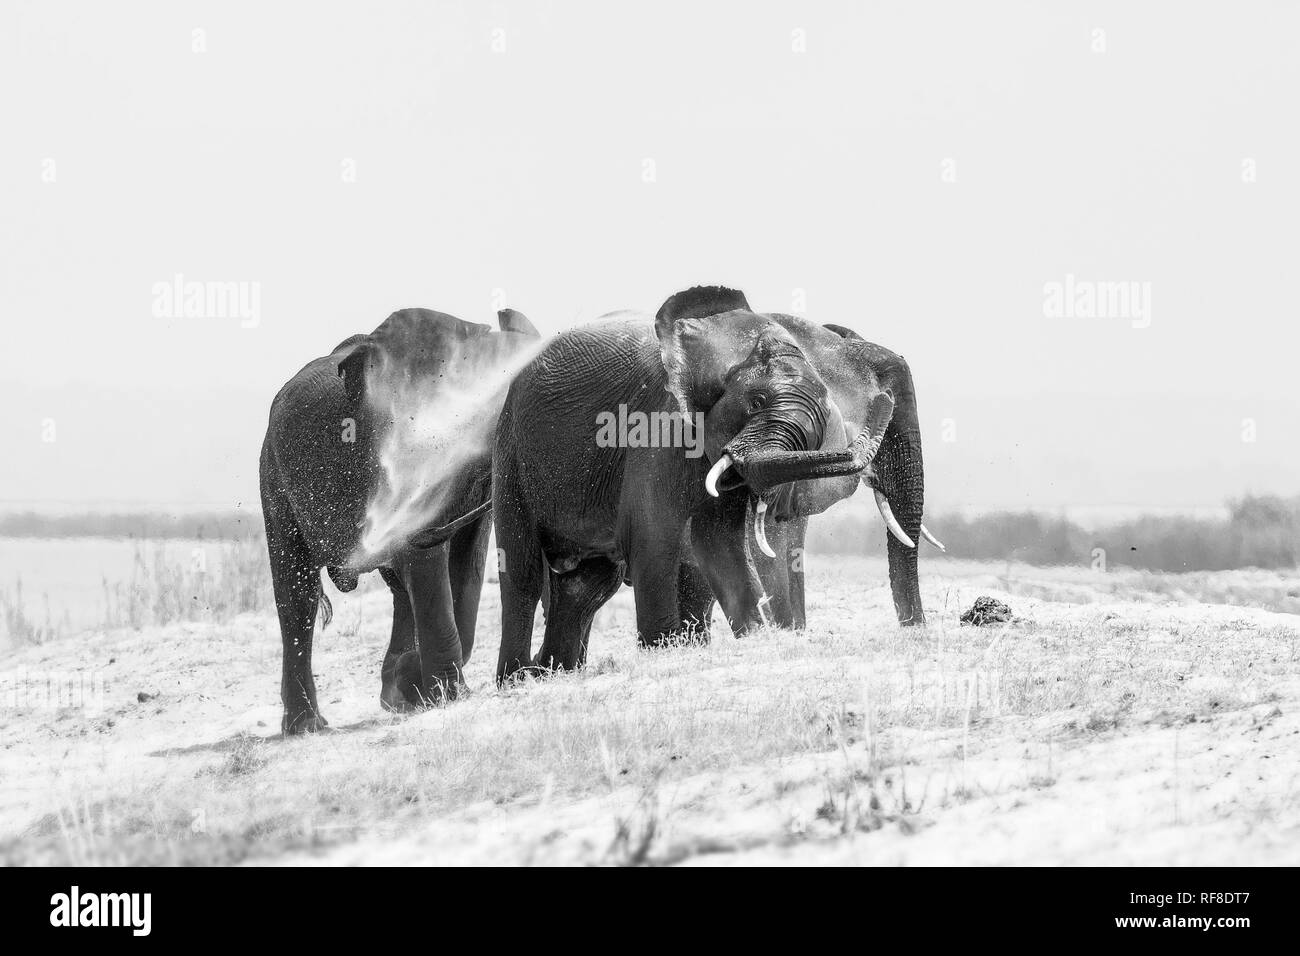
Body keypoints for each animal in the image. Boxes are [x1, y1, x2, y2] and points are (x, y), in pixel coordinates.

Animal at [258, 306, 538, 733]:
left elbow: (466, 562)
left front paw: (415, 685)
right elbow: (427, 562)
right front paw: (443, 693)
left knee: (401, 588)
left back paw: (398, 696)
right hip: (273, 477)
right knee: (297, 595)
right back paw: (307, 726)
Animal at [488, 283, 904, 681]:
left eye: (815, 432)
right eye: (756, 402)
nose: (886, 397)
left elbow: (718, 540)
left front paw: (756, 636)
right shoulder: (655, 425)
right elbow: (653, 534)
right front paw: (663, 651)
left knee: (587, 585)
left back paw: (553, 673)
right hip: (511, 453)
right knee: (522, 570)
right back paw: (516, 681)